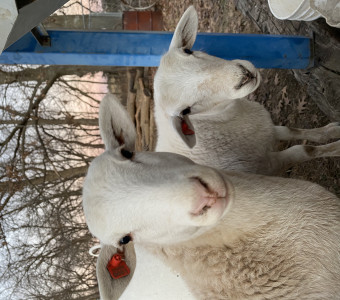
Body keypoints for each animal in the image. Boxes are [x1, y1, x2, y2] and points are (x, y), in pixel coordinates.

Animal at [82, 93, 340, 298]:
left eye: (128, 153)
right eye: (125, 239)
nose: (202, 196)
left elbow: (295, 136)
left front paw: (333, 132)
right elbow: (303, 149)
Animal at [154, 5, 340, 173]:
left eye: (188, 50)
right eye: (186, 110)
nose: (243, 76)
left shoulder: (266, 130)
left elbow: (292, 131)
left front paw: (332, 130)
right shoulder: (268, 165)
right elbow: (305, 150)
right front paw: (337, 147)